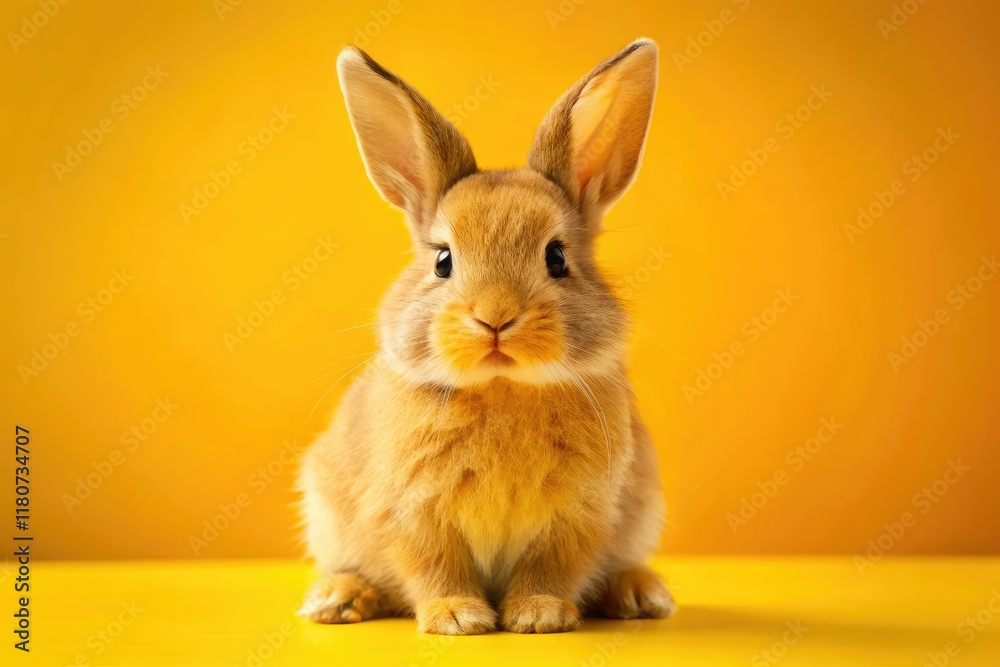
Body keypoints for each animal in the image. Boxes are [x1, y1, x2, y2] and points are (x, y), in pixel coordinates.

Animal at [297, 38, 674, 635]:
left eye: (557, 257)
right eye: (443, 261)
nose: (495, 317)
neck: (502, 387)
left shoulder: (581, 513)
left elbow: (553, 564)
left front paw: (539, 615)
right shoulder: (411, 510)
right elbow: (434, 565)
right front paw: (457, 618)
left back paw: (641, 594)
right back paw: (335, 600)